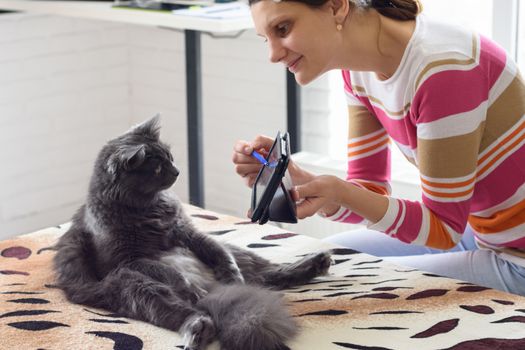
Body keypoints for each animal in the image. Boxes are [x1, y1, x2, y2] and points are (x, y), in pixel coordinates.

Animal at [53, 116, 332, 350]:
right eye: (156, 168)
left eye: (170, 157)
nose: (177, 172)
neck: (148, 208)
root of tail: (212, 289)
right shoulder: (126, 260)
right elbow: (171, 273)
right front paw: (187, 285)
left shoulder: (187, 231)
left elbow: (216, 252)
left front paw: (231, 274)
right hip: (131, 284)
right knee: (186, 310)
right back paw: (199, 326)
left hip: (240, 254)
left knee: (268, 275)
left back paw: (314, 263)